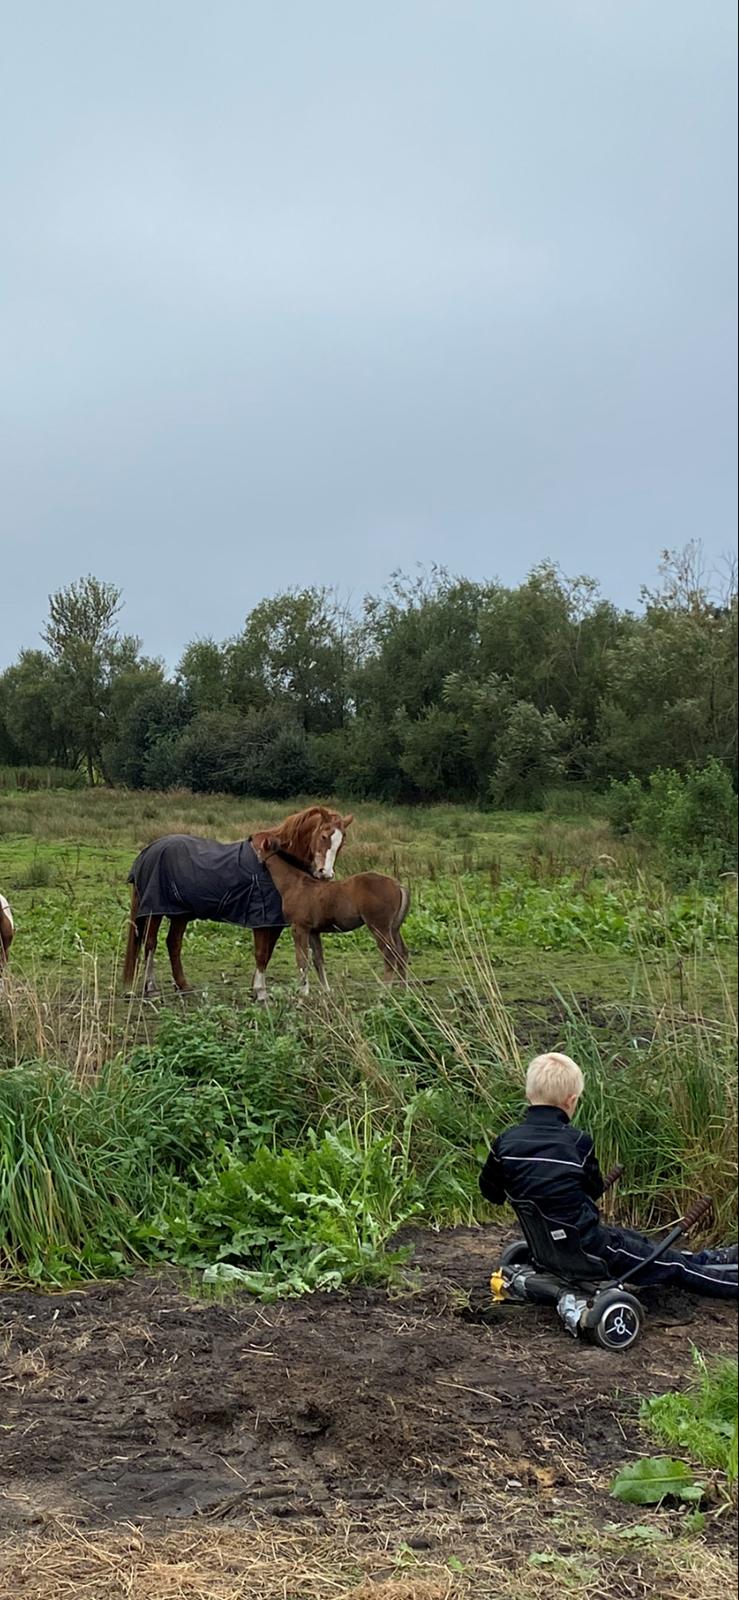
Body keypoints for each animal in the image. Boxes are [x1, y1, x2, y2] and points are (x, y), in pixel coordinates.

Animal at [123, 812, 355, 998]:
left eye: (341, 842)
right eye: (323, 836)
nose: (325, 874)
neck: (272, 864)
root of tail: (149, 850)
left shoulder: (274, 922)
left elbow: (267, 954)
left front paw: (255, 988)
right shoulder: (260, 919)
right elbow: (261, 953)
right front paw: (260, 993)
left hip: (180, 912)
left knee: (173, 943)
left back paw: (183, 986)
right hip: (156, 909)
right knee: (150, 943)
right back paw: (151, 987)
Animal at [254, 832, 409, 992]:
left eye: (254, 842)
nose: (249, 838)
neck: (295, 885)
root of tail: (398, 885)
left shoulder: (299, 928)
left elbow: (302, 960)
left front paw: (302, 993)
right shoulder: (313, 931)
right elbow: (318, 959)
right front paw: (326, 991)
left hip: (379, 927)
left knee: (390, 954)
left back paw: (384, 992)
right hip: (394, 928)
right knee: (402, 953)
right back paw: (404, 990)